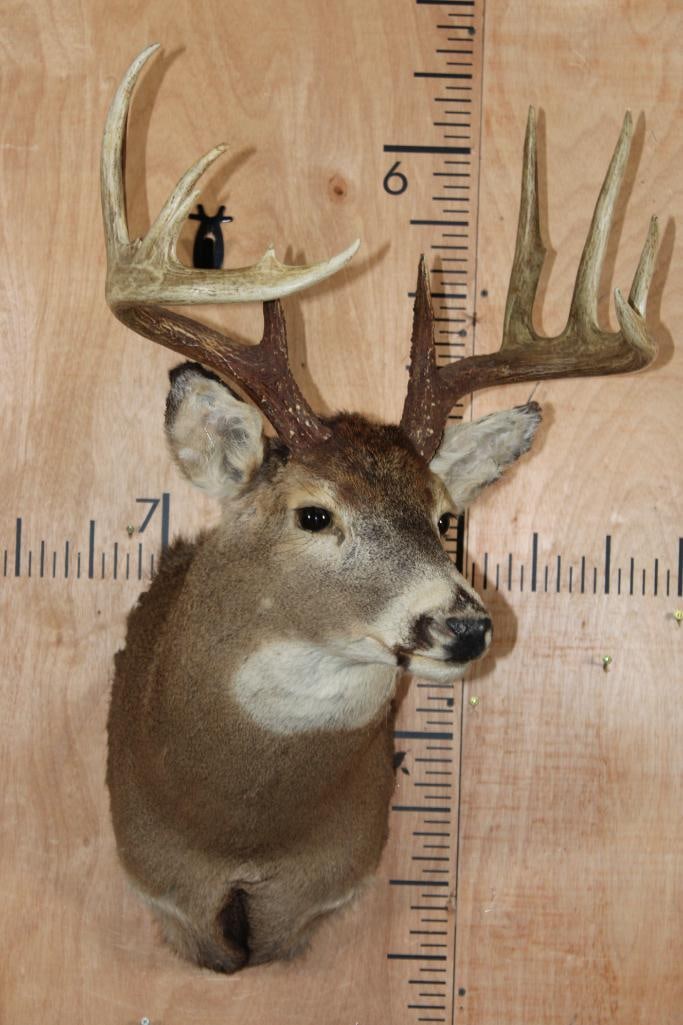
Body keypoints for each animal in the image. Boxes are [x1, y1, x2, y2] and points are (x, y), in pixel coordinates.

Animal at [102, 45, 658, 973]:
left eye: (440, 515)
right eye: (313, 514)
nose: (465, 626)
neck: (235, 828)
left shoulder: (317, 894)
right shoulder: (167, 895)